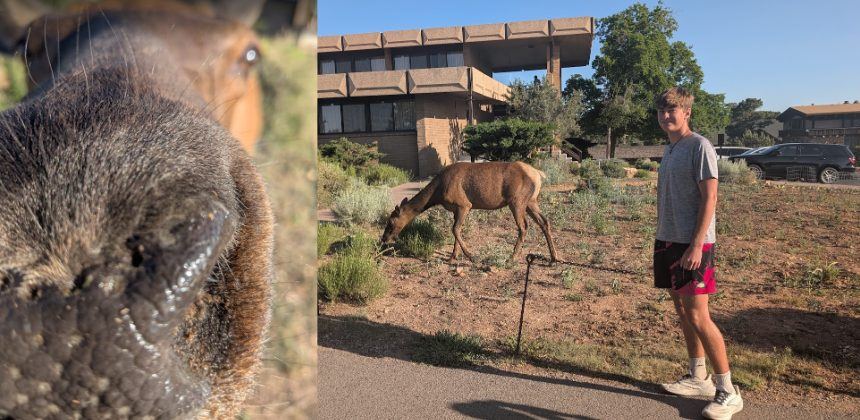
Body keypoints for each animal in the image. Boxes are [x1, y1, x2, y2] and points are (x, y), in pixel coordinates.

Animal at [381, 161, 559, 264]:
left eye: (391, 222)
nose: (384, 239)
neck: (437, 193)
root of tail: (539, 175)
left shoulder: (464, 205)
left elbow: (455, 229)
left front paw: (471, 256)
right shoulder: (456, 209)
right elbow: (455, 231)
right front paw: (453, 256)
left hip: (517, 201)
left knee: (523, 226)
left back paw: (512, 258)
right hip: (531, 201)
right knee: (544, 222)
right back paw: (554, 257)